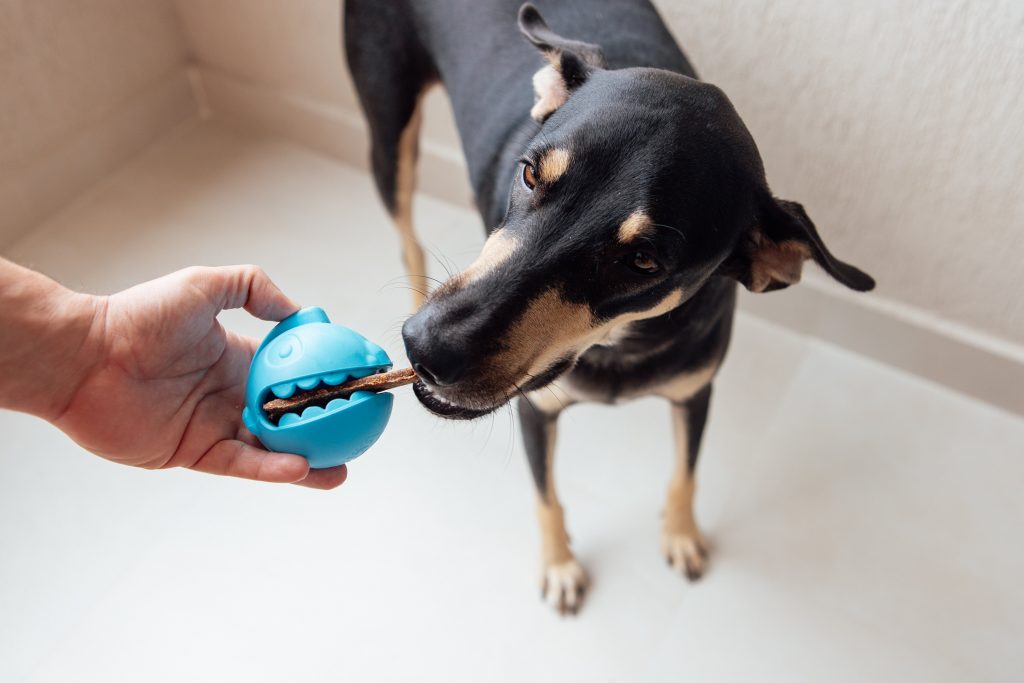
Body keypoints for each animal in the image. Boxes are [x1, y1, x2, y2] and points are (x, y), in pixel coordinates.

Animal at [344, 0, 872, 614]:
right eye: (529, 174)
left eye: (643, 261)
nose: (425, 348)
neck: (617, 345)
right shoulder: (537, 409)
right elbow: (546, 495)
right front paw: (560, 566)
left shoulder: (695, 392)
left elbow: (685, 473)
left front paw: (681, 534)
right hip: (390, 132)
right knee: (406, 232)